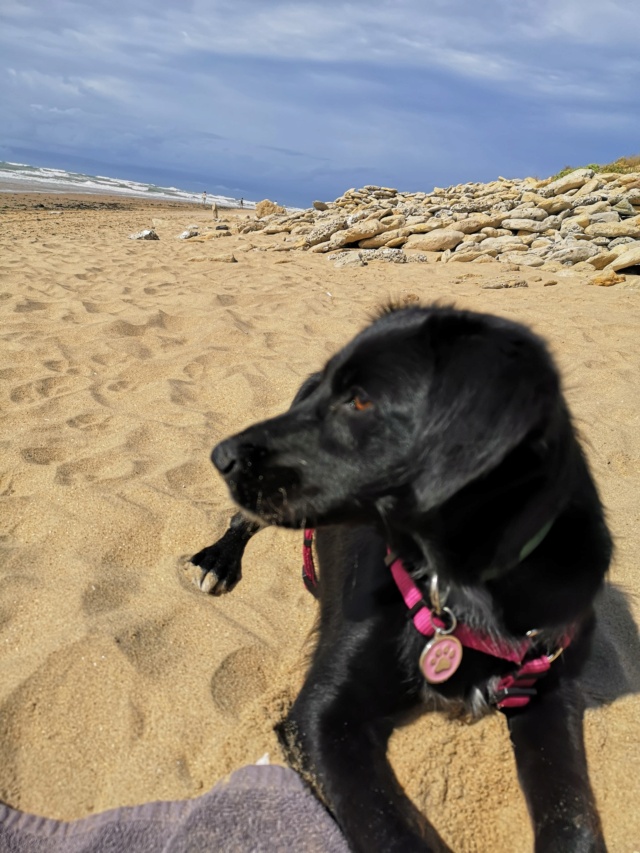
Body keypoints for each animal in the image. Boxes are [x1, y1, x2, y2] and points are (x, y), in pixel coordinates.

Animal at [192, 306, 612, 852]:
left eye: (360, 400)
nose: (218, 455)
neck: (457, 586)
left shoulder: (548, 689)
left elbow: (572, 814)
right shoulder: (321, 717)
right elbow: (386, 829)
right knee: (242, 520)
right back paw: (218, 561)